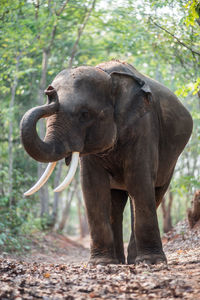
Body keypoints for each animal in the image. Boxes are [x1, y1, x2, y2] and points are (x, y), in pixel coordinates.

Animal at [19, 61, 192, 264]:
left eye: (85, 114)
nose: (50, 92)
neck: (109, 76)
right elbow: (93, 186)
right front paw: (101, 263)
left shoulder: (145, 125)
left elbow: (139, 180)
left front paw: (152, 262)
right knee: (116, 205)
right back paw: (120, 261)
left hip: (172, 161)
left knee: (154, 192)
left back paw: (133, 260)